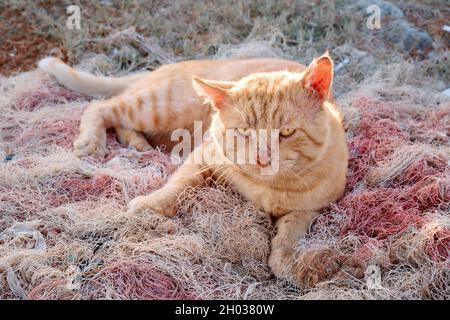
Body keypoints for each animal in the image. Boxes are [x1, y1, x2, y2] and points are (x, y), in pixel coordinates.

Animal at [38, 53, 348, 284]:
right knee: (100, 107)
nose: (262, 158)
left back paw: (139, 144)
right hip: (155, 108)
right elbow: (177, 186)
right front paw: (150, 205)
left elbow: (294, 227)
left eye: (286, 132)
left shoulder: (315, 204)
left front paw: (287, 258)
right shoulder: (204, 156)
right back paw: (92, 142)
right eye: (243, 132)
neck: (267, 188)